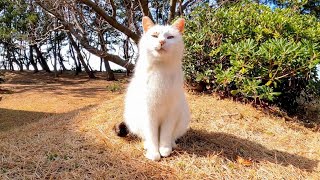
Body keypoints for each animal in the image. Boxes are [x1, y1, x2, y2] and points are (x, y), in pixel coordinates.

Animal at [119, 16, 191, 160]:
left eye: (170, 37)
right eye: (154, 35)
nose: (162, 41)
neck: (160, 71)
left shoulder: (171, 113)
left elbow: (165, 134)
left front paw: (164, 149)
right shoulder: (148, 113)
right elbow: (152, 135)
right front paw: (154, 153)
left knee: (172, 136)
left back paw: (172, 145)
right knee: (145, 136)